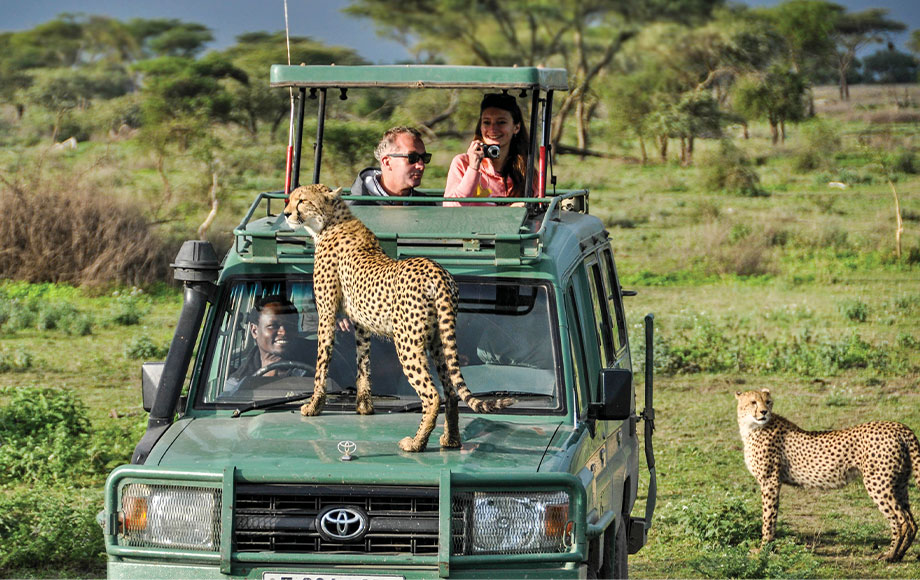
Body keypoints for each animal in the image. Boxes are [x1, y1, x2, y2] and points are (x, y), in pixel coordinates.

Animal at [284, 184, 512, 450]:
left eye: (302, 201)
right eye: (290, 199)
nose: (286, 213)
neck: (331, 222)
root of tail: (437, 270)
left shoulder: (327, 314)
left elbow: (322, 361)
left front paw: (313, 406)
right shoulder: (361, 323)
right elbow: (363, 361)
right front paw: (364, 406)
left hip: (407, 342)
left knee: (432, 394)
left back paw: (416, 443)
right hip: (439, 340)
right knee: (450, 390)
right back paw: (451, 439)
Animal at [732, 390, 920, 560]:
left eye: (768, 402)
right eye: (753, 402)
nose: (764, 412)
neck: (752, 427)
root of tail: (899, 426)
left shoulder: (770, 481)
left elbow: (768, 517)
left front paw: (764, 549)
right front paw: (767, 547)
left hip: (877, 483)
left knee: (901, 520)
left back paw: (889, 555)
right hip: (899, 483)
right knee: (912, 521)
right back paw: (899, 554)